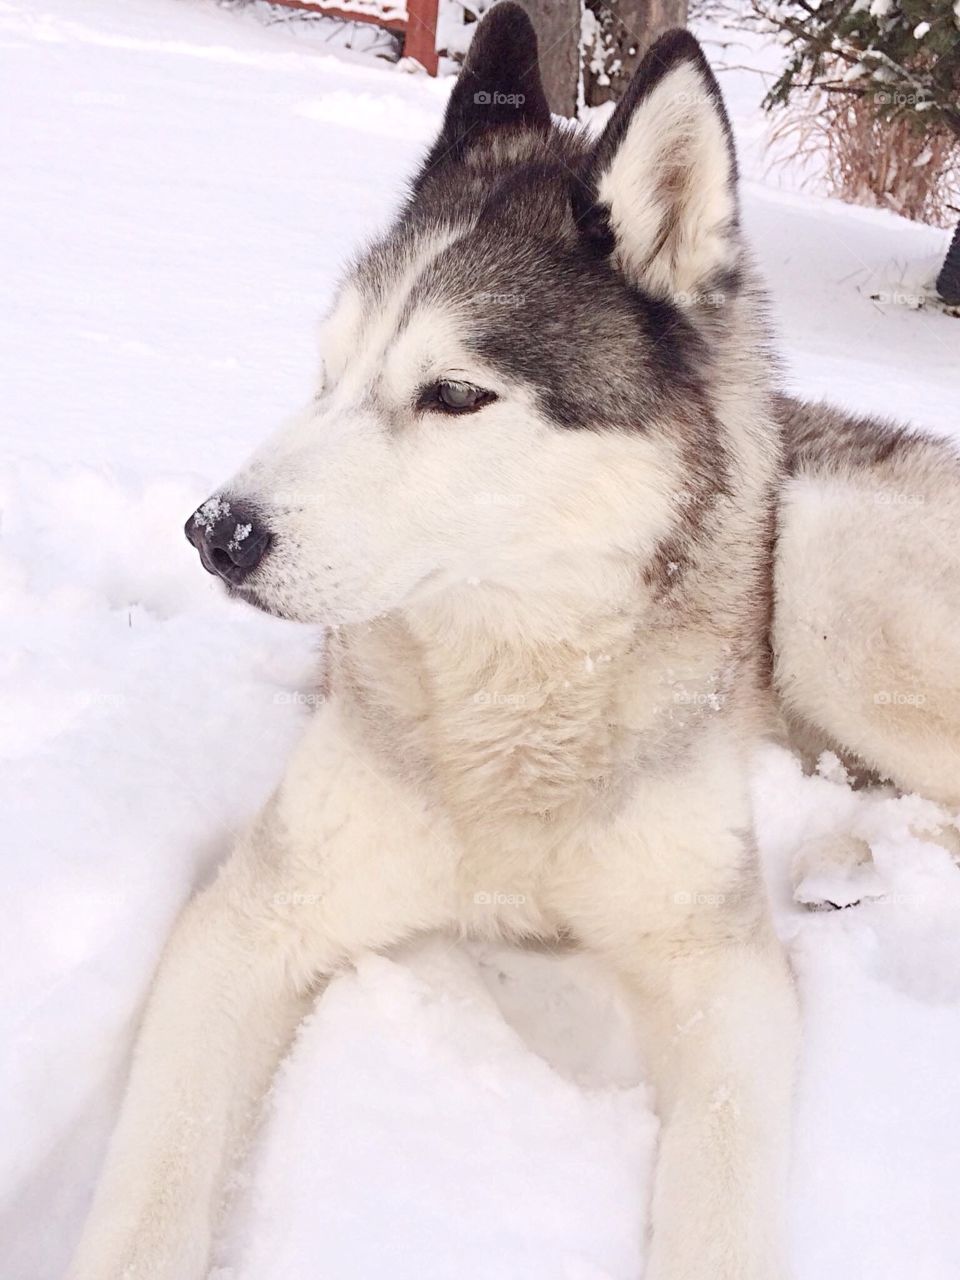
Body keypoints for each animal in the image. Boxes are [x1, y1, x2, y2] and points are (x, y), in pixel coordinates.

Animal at [69, 10, 960, 1280]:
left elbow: (719, 1196)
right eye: (328, 371)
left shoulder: (723, 972)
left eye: (453, 393)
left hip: (825, 561)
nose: (214, 531)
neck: (520, 695)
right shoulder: (250, 922)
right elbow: (151, 1195)